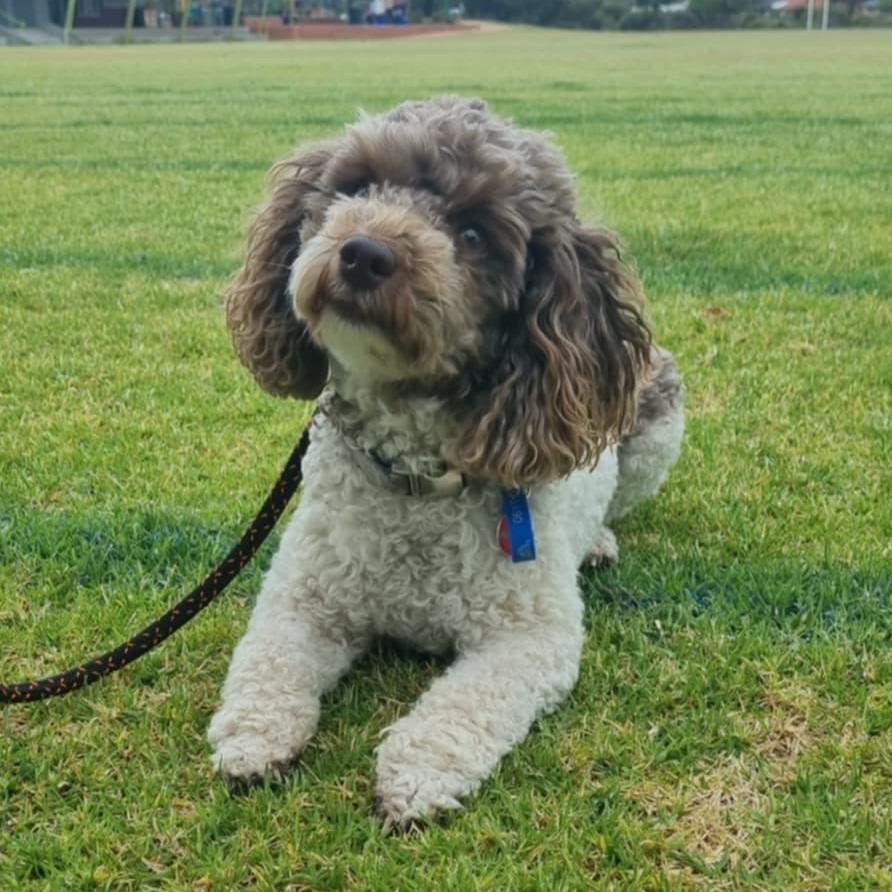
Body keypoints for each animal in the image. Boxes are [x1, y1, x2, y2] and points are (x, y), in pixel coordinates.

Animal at [208, 96, 684, 829]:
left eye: (474, 233)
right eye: (358, 185)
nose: (364, 251)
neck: (414, 483)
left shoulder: (527, 636)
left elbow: (461, 710)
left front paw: (417, 774)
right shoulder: (306, 595)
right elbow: (268, 661)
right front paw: (253, 737)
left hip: (656, 421)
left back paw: (599, 540)